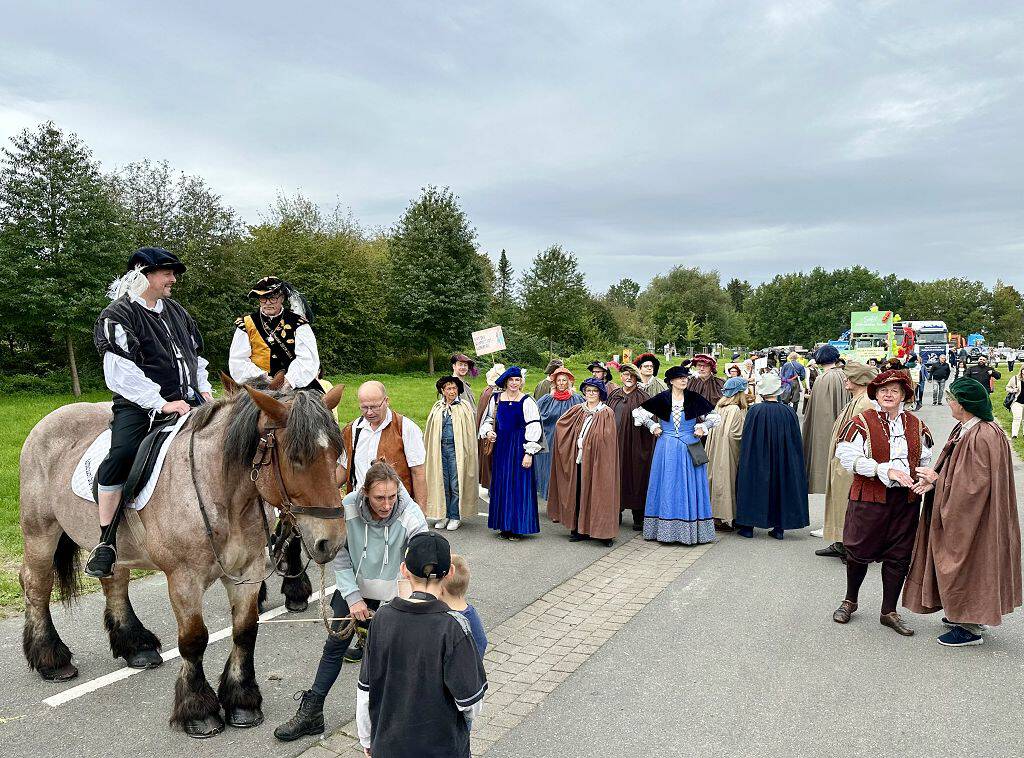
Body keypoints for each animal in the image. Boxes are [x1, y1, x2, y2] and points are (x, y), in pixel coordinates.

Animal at [18, 376, 348, 737]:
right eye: (297, 457)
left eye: (336, 453)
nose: (331, 541)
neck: (220, 491)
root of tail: (48, 420)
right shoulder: (184, 579)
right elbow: (193, 640)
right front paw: (198, 710)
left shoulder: (247, 573)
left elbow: (245, 632)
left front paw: (242, 701)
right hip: (40, 531)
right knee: (36, 585)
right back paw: (51, 659)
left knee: (114, 583)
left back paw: (135, 645)